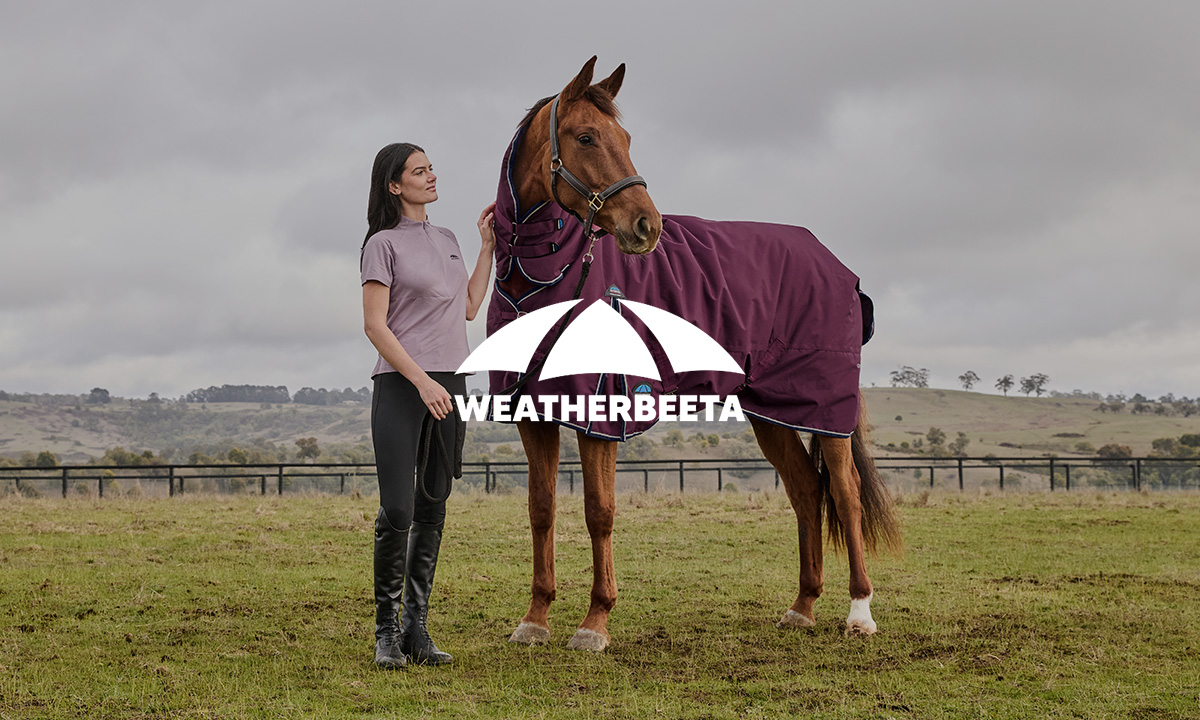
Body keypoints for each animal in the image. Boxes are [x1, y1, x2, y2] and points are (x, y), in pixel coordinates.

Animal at [485, 57, 901, 652]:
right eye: (586, 136)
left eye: (626, 138)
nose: (647, 226)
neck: (548, 277)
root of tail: (836, 264)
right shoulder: (533, 412)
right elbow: (541, 510)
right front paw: (535, 619)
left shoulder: (601, 414)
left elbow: (599, 512)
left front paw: (594, 623)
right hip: (772, 412)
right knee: (806, 492)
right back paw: (801, 608)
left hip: (826, 412)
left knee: (844, 494)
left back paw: (860, 613)